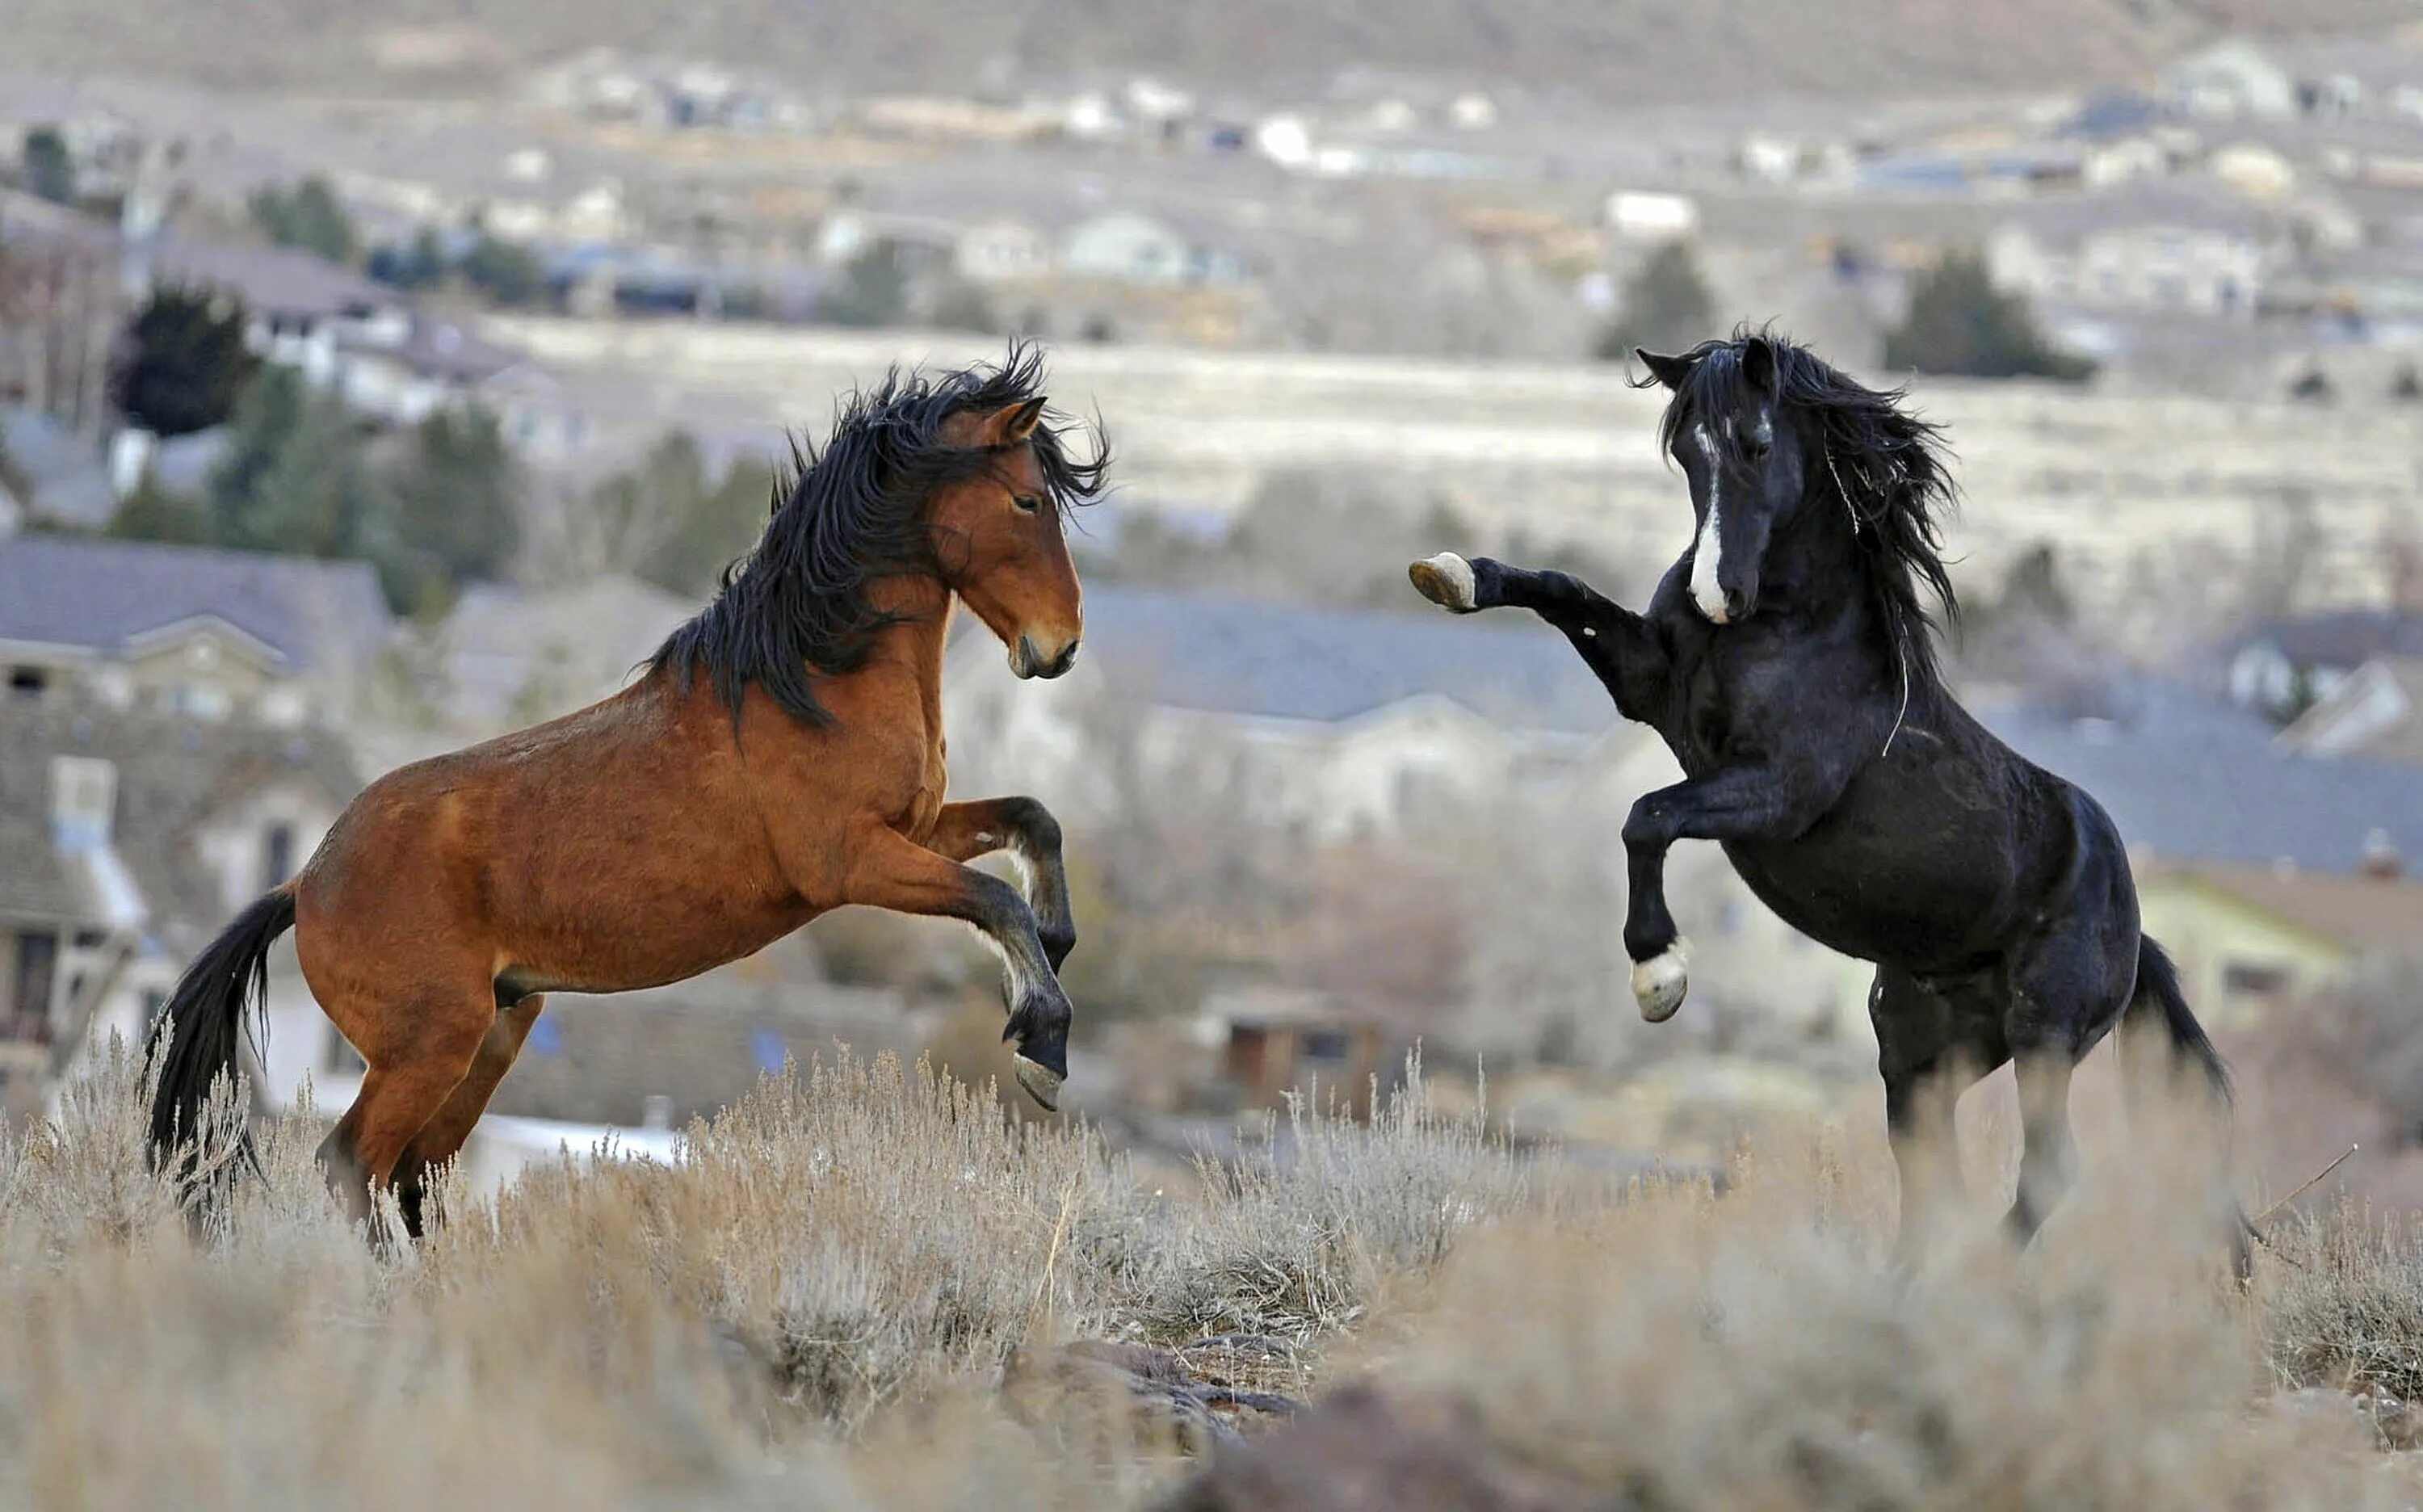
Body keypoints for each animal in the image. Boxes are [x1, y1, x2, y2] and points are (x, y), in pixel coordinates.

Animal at [141, 346, 1110, 1231]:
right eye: (1027, 502)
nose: (1059, 646)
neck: (810, 679)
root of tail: (304, 884)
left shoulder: (917, 826)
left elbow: (1034, 824)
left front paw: (1058, 953)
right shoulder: (853, 863)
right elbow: (993, 898)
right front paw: (1043, 1044)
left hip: (492, 1036)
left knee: (414, 1178)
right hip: (429, 1047)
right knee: (351, 1165)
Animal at [1415, 334, 2239, 1260]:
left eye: (1756, 445)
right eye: (1685, 452)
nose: (1717, 595)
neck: (1783, 629)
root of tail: (2133, 926)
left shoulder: (1774, 793)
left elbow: (1647, 817)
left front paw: (1658, 975)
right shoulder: (1645, 683)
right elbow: (1564, 591)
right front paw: (1452, 575)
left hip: (2046, 1035)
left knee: (2048, 1174)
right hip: (1922, 1057)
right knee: (1933, 1183)